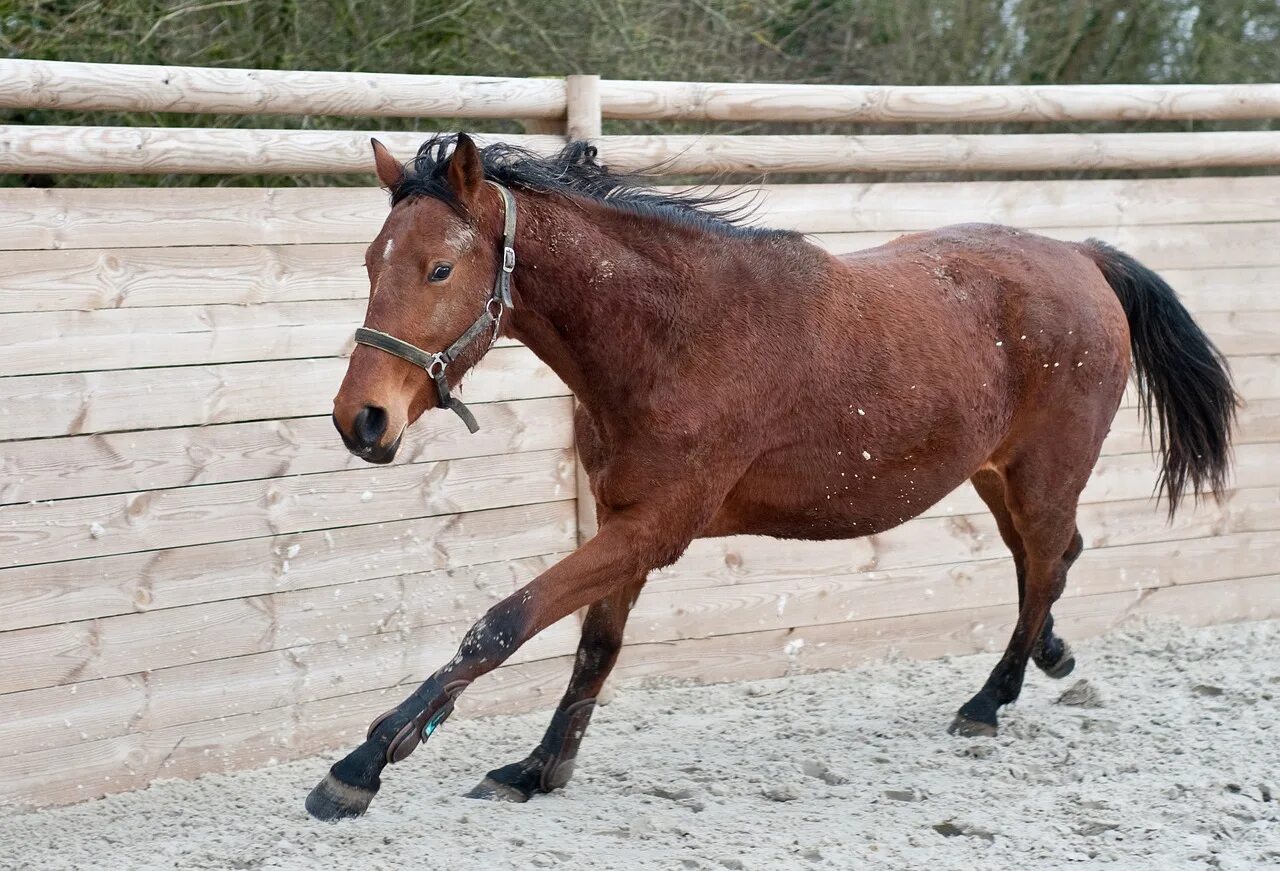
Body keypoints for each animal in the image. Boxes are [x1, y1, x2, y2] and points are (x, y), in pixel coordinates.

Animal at [304, 132, 1233, 819]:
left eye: (440, 268)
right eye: (370, 261)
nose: (363, 420)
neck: (676, 336)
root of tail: (1082, 255)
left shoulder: (656, 526)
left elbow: (502, 624)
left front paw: (363, 762)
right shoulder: (623, 516)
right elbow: (595, 646)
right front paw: (539, 768)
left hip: (1043, 474)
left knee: (1045, 562)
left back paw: (988, 701)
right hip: (995, 475)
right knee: (1048, 560)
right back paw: (1047, 657)